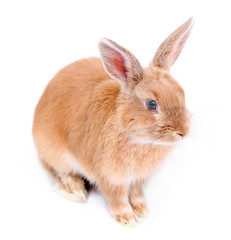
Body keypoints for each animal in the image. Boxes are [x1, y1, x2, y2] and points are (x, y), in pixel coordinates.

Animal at [33, 17, 193, 228]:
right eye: (152, 104)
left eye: (181, 94)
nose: (183, 132)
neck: (134, 136)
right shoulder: (109, 176)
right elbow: (118, 197)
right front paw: (127, 218)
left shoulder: (138, 179)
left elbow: (136, 193)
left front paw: (141, 209)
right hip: (54, 151)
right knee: (56, 169)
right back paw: (75, 190)